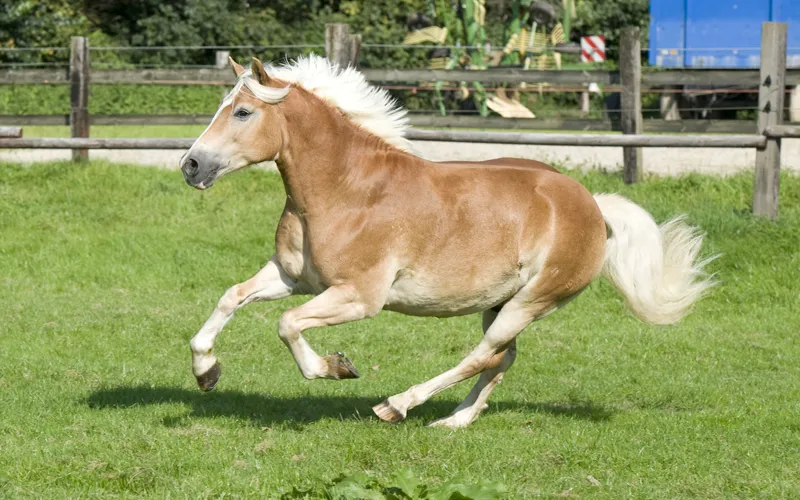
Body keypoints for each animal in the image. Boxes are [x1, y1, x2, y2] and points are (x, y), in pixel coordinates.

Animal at [180, 55, 712, 430]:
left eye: (243, 112)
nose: (191, 165)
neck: (348, 189)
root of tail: (593, 207)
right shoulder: (292, 278)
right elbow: (231, 297)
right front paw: (207, 371)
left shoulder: (359, 297)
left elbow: (287, 324)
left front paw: (336, 367)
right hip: (500, 302)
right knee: (502, 358)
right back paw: (456, 420)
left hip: (534, 300)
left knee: (484, 355)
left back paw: (398, 406)